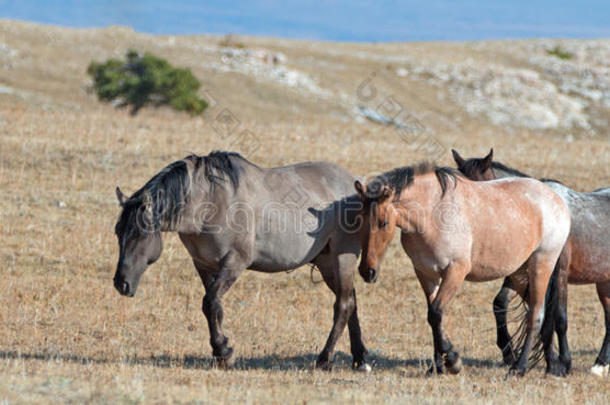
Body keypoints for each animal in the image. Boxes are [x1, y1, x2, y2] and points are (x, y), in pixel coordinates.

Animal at [114, 151, 370, 370]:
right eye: (118, 232)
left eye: (140, 234)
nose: (121, 283)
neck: (211, 201)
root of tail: (354, 186)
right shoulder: (204, 265)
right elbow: (213, 307)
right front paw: (221, 350)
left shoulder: (235, 262)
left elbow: (210, 302)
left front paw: (223, 352)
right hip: (327, 262)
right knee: (352, 301)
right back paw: (360, 359)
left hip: (342, 258)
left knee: (343, 305)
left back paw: (324, 359)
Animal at [354, 162, 568, 376]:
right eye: (360, 221)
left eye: (383, 223)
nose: (367, 271)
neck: (432, 214)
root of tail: (556, 198)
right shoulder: (426, 274)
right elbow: (435, 317)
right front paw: (438, 366)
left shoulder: (455, 271)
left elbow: (436, 313)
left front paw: (452, 361)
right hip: (519, 273)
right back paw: (552, 364)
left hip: (541, 264)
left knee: (536, 315)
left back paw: (520, 367)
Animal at [448, 148, 608, 376]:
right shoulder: (521, 274)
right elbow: (502, 304)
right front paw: (515, 355)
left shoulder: (557, 273)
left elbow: (558, 319)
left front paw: (562, 363)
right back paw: (600, 364)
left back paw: (599, 364)